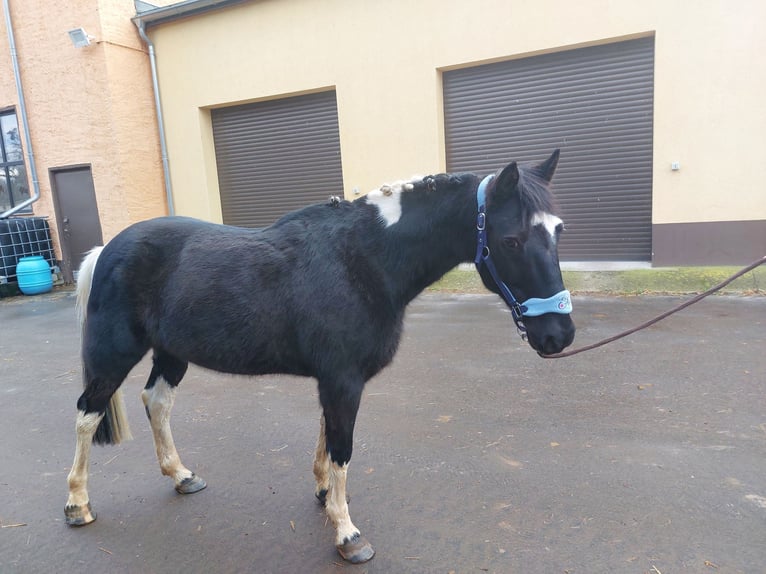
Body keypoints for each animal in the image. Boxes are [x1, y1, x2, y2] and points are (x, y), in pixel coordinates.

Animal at [64, 151, 576, 564]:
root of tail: (106, 250)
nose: (559, 334)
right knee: (88, 414)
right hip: (115, 353)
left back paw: (181, 475)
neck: (364, 260)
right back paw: (78, 504)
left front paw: (325, 494)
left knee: (157, 402)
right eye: (511, 240)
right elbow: (343, 448)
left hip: (172, 354)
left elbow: (328, 438)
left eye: (558, 230)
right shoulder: (343, 379)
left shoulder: (335, 379)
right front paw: (348, 535)